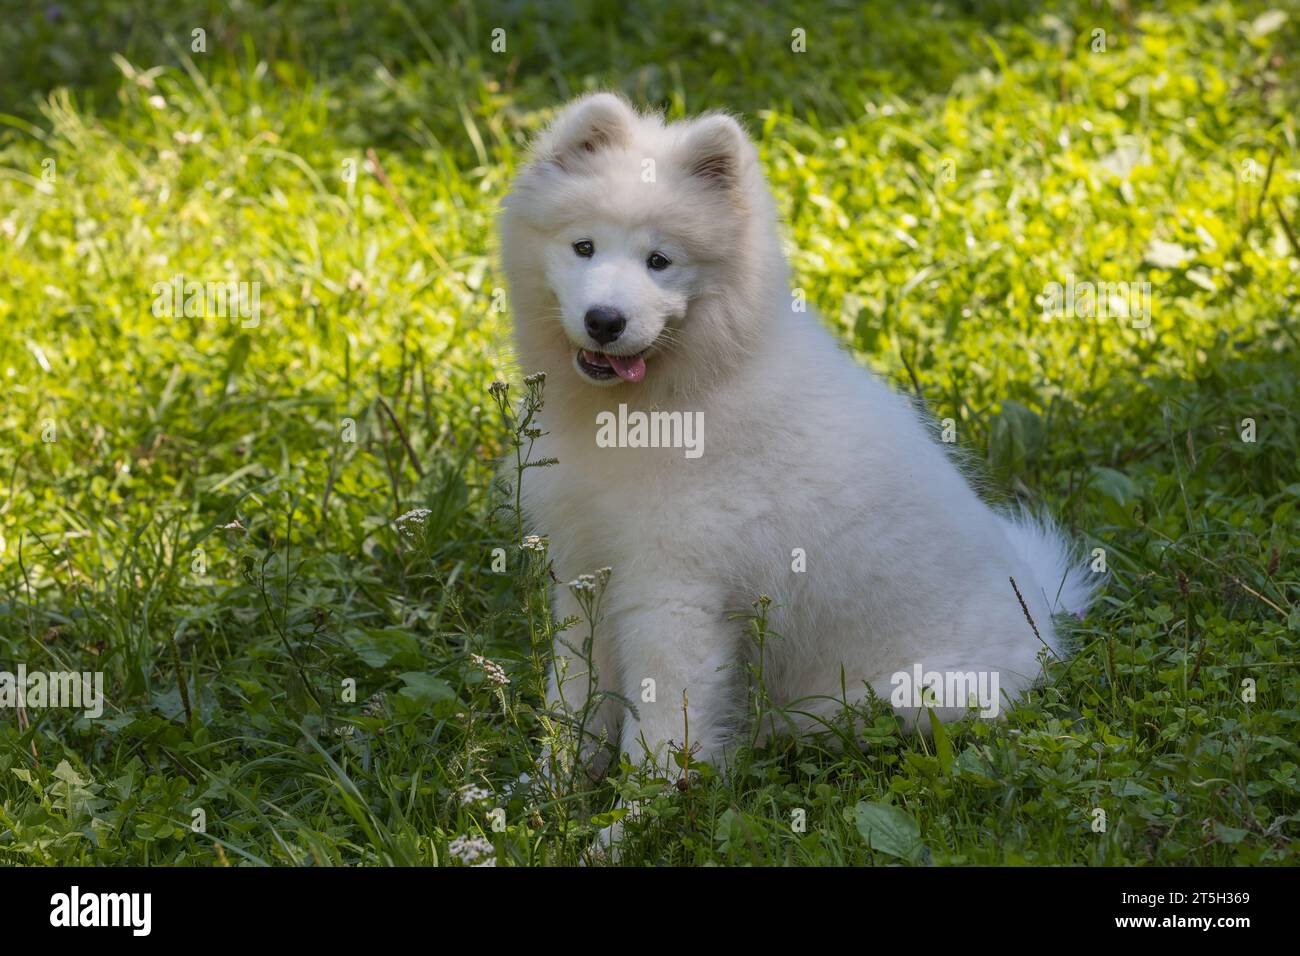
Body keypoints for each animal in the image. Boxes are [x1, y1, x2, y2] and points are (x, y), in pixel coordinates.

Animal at [501, 95, 1092, 785]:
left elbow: (659, 723)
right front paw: (549, 792)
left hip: (902, 700)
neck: (678, 395)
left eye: (660, 261)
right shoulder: (583, 574)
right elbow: (573, 698)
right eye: (584, 247)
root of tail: (1042, 625)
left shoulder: (675, 594)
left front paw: (637, 808)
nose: (604, 321)